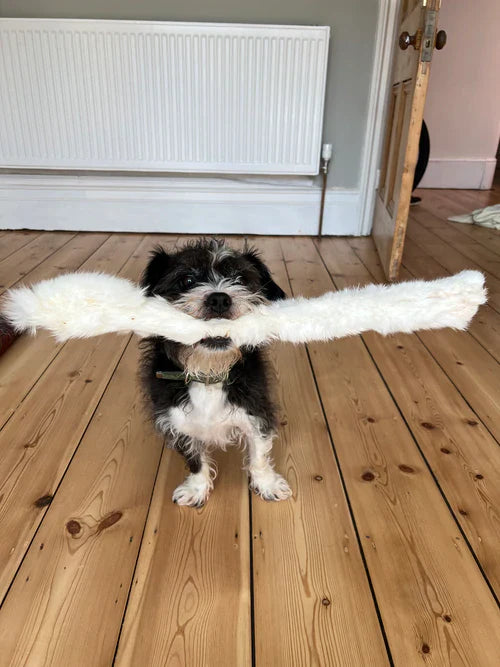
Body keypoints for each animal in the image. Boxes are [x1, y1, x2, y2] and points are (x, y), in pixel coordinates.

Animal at [139, 240, 292, 506]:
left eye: (240, 278)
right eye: (187, 280)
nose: (219, 299)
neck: (209, 372)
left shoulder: (256, 410)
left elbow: (259, 455)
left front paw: (268, 485)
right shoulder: (177, 420)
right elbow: (195, 460)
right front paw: (196, 488)